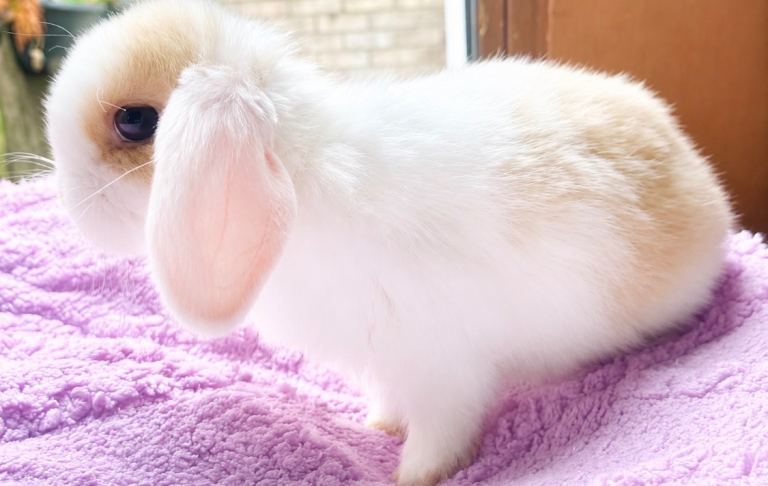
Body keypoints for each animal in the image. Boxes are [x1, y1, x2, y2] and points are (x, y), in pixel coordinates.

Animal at [44, 0, 733, 484]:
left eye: (135, 121)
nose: (70, 206)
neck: (299, 170)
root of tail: (709, 190)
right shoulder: (390, 364)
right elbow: (391, 400)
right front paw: (379, 424)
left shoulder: (443, 367)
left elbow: (442, 432)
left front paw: (414, 475)